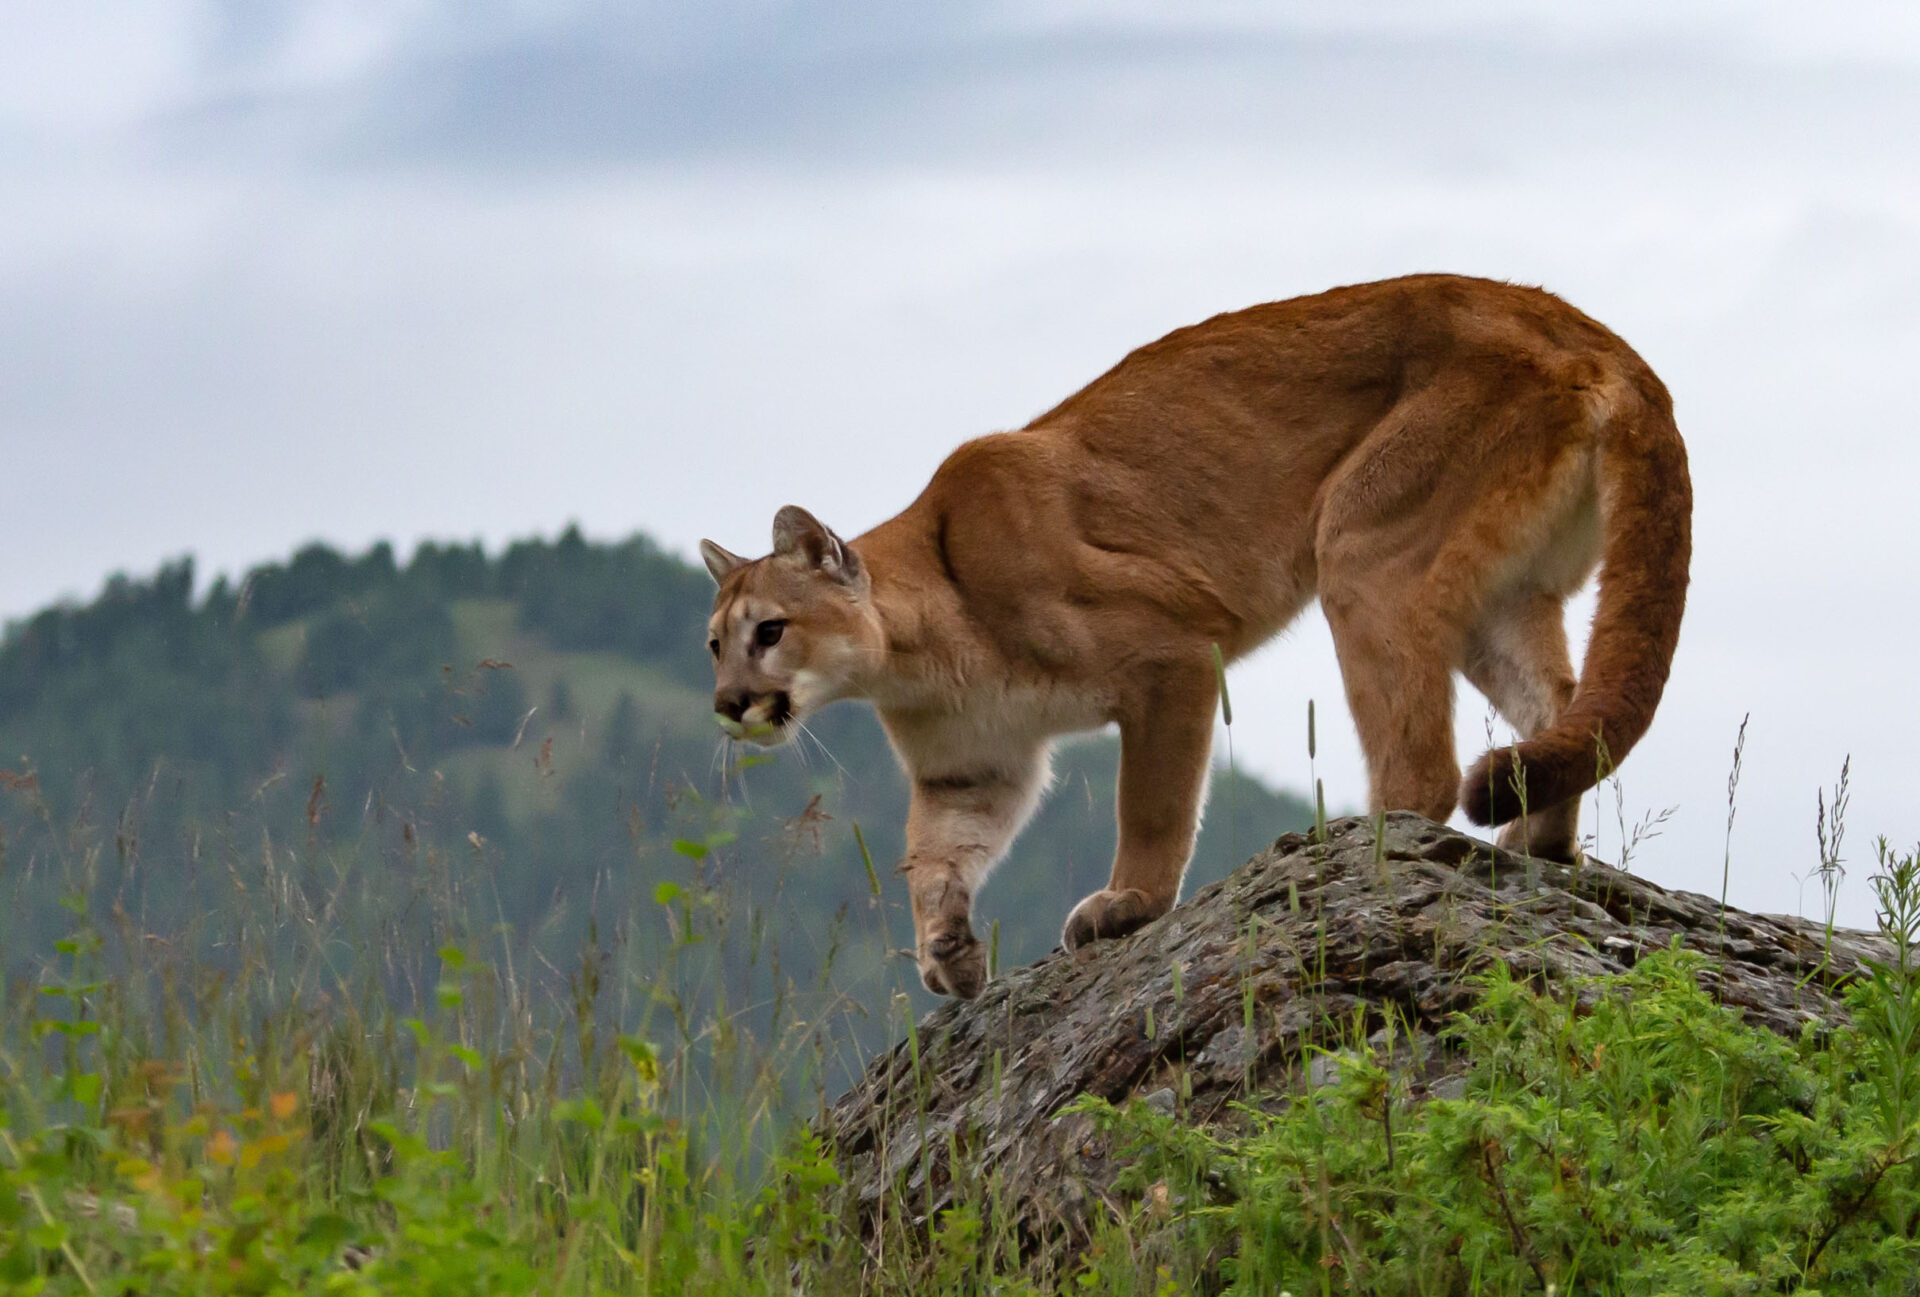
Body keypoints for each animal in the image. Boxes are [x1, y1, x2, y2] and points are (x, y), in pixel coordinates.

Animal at [698, 274, 1689, 997]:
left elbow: (1152, 802)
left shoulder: (1169, 656)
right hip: (1498, 595)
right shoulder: (973, 766)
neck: (919, 654)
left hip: (1363, 544)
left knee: (1429, 761)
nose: (729, 705)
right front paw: (948, 952)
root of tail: (1585, 327)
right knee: (1564, 706)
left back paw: (1362, 841)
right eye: (714, 643)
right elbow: (934, 856)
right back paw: (1537, 842)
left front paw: (1129, 903)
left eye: (770, 630)